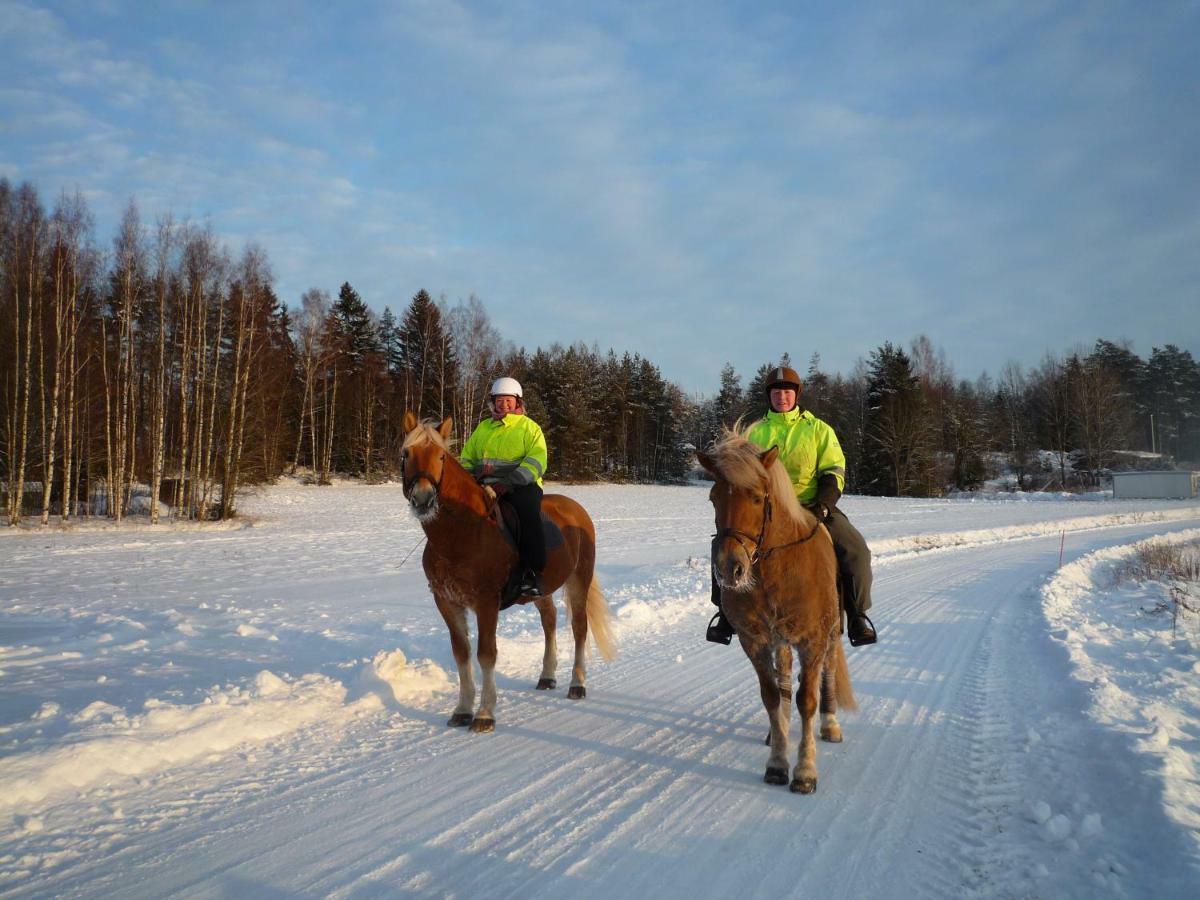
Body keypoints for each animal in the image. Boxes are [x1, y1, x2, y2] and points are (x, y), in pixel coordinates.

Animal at [400, 415, 614, 734]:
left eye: (440, 456)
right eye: (406, 454)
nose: (423, 499)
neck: (463, 532)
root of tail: (576, 509)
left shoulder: (486, 602)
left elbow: (486, 654)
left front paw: (485, 714)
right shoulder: (447, 602)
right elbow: (461, 654)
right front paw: (462, 710)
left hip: (579, 579)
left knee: (579, 628)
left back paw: (577, 684)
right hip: (542, 589)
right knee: (549, 621)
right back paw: (547, 676)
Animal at [696, 429, 854, 796]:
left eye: (757, 498)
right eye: (713, 498)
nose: (729, 569)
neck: (776, 570)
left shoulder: (812, 641)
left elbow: (807, 699)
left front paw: (805, 771)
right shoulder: (754, 641)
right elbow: (770, 695)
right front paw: (778, 764)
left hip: (829, 634)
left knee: (828, 670)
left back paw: (830, 724)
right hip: (780, 640)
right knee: (783, 681)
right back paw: (776, 731)